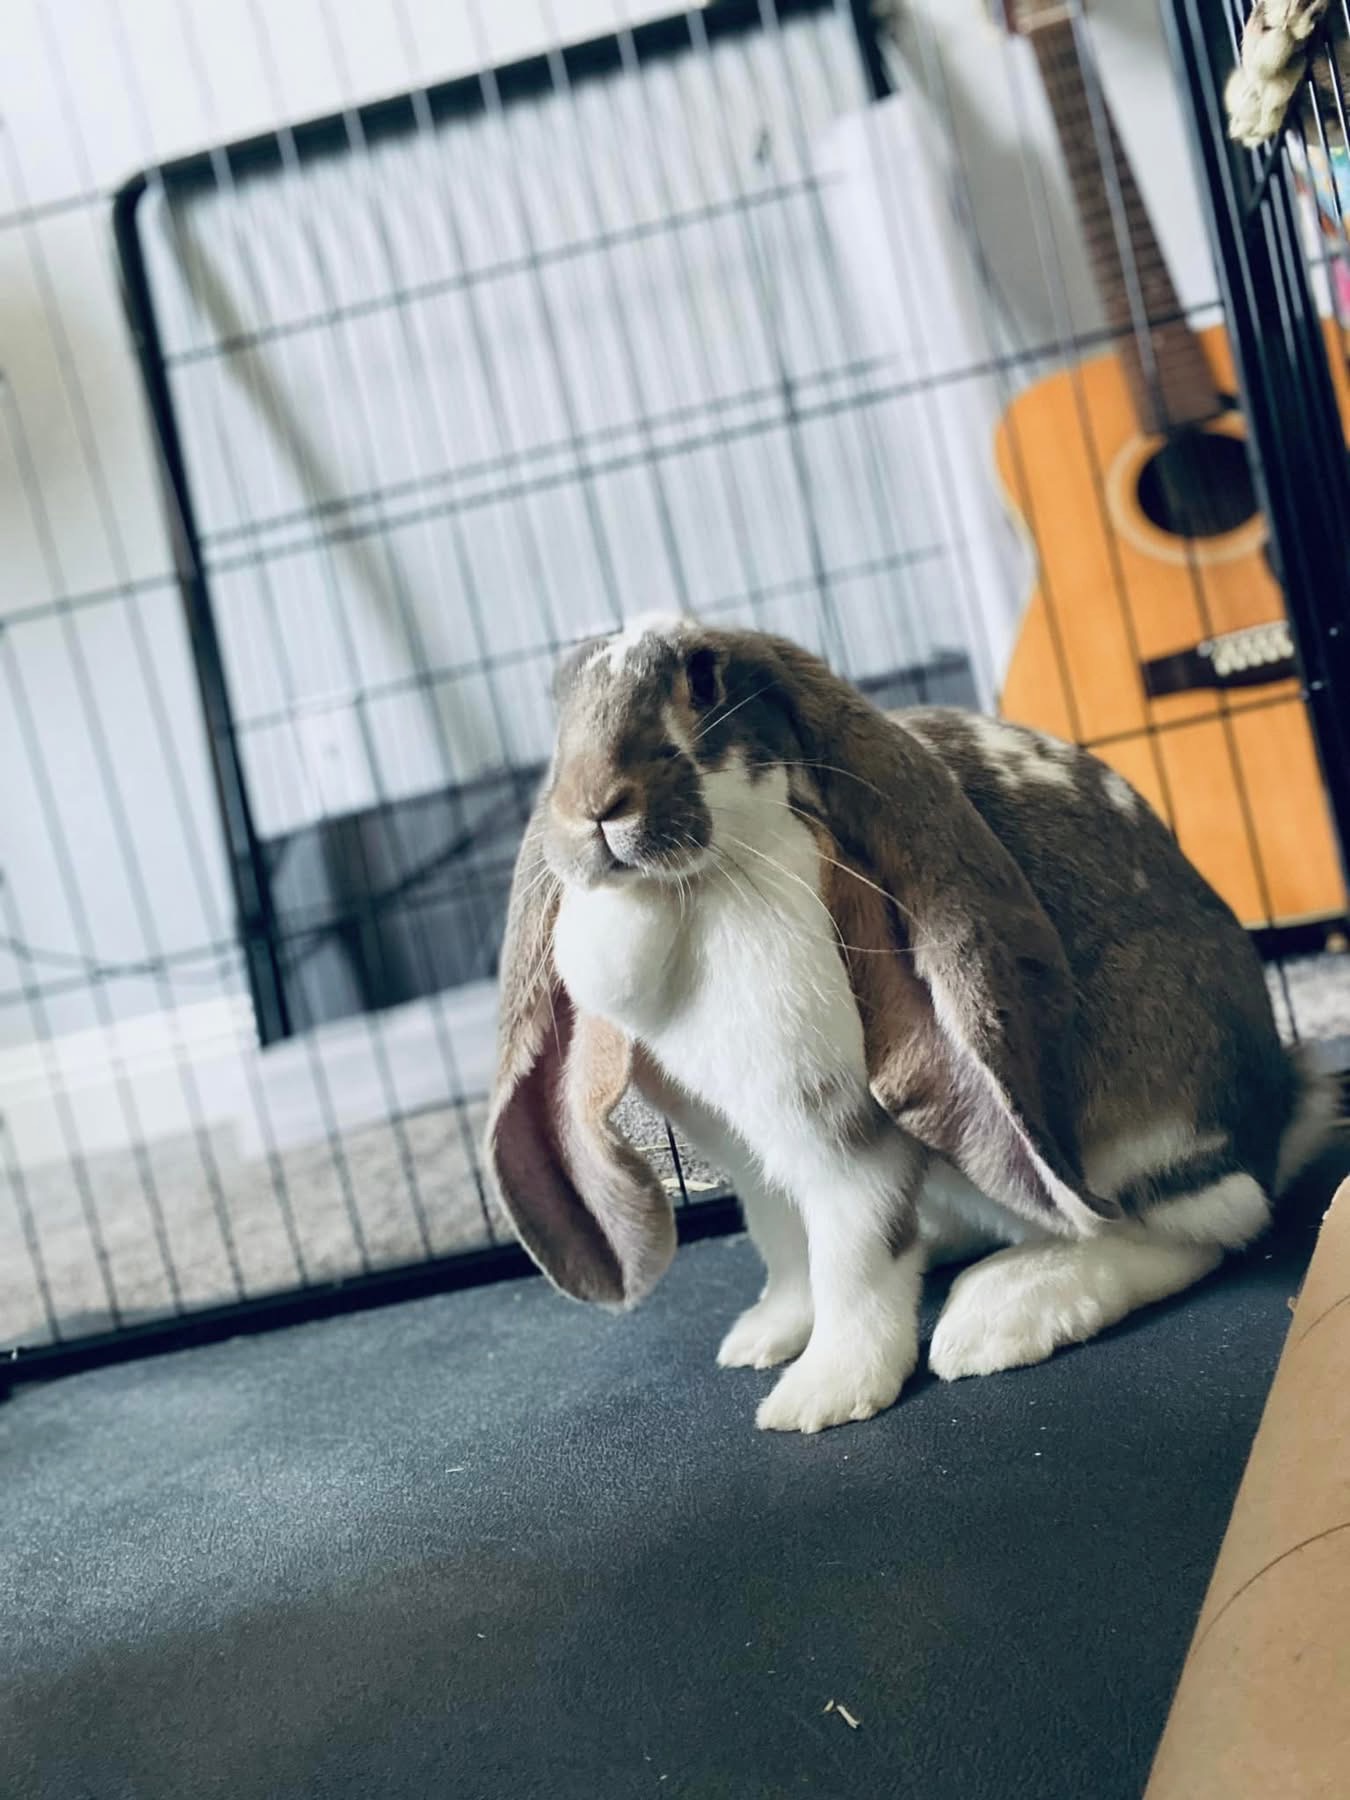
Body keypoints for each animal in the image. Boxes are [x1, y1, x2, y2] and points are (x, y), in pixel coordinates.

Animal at [485, 616, 1334, 1433]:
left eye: (702, 677)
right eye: (559, 698)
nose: (596, 805)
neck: (695, 888)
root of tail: (1284, 1109)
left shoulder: (842, 1137)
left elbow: (852, 1261)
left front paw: (822, 1398)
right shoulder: (746, 1152)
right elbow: (785, 1249)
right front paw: (764, 1339)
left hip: (1146, 1134)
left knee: (1201, 1227)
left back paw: (1005, 1312)